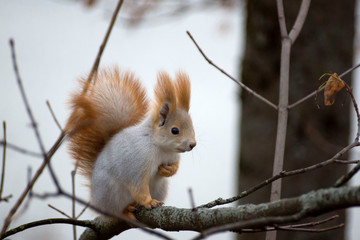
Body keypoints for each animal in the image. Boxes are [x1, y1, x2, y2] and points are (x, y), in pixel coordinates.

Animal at [65, 66, 197, 218]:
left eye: (193, 127)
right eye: (174, 130)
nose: (193, 144)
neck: (162, 148)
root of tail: (96, 200)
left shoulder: (173, 156)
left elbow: (175, 166)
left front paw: (168, 170)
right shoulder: (137, 163)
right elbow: (138, 186)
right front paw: (149, 202)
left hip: (161, 188)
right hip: (111, 193)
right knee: (115, 211)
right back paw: (126, 211)